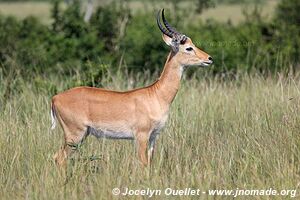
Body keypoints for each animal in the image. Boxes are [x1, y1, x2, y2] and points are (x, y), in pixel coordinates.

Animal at [50, 9, 212, 167]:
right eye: (188, 48)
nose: (209, 58)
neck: (157, 94)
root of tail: (55, 98)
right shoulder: (141, 136)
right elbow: (143, 164)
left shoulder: (154, 136)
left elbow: (150, 163)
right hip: (75, 135)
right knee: (59, 157)